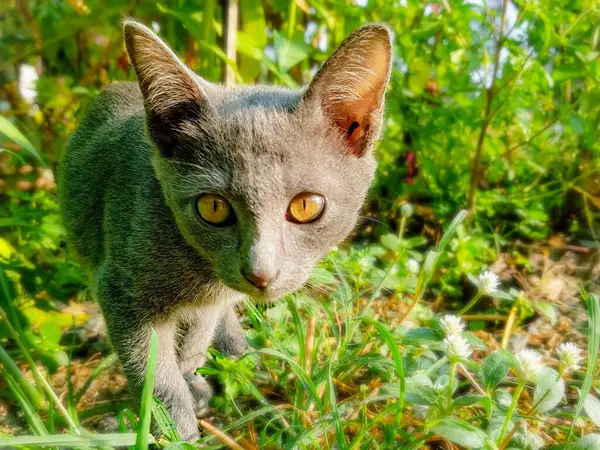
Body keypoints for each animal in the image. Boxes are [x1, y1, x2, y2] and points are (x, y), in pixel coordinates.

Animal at [58, 20, 392, 440]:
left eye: (306, 206)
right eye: (213, 207)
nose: (260, 273)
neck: (199, 272)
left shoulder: (207, 304)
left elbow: (193, 343)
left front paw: (192, 389)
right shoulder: (120, 288)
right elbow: (154, 371)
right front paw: (175, 430)